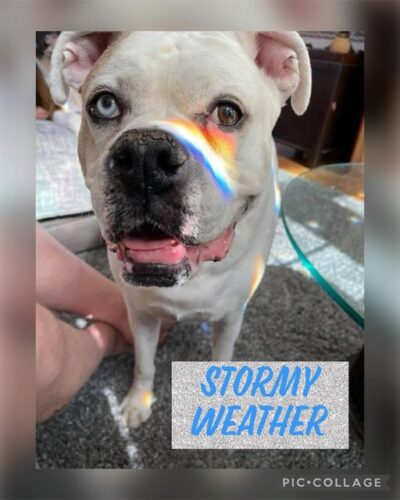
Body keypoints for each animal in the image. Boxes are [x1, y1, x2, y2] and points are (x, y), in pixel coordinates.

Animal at [49, 31, 311, 428]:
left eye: (228, 113)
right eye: (105, 104)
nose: (144, 157)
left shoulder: (230, 319)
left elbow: (222, 360)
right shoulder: (141, 316)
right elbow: (143, 363)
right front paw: (138, 401)